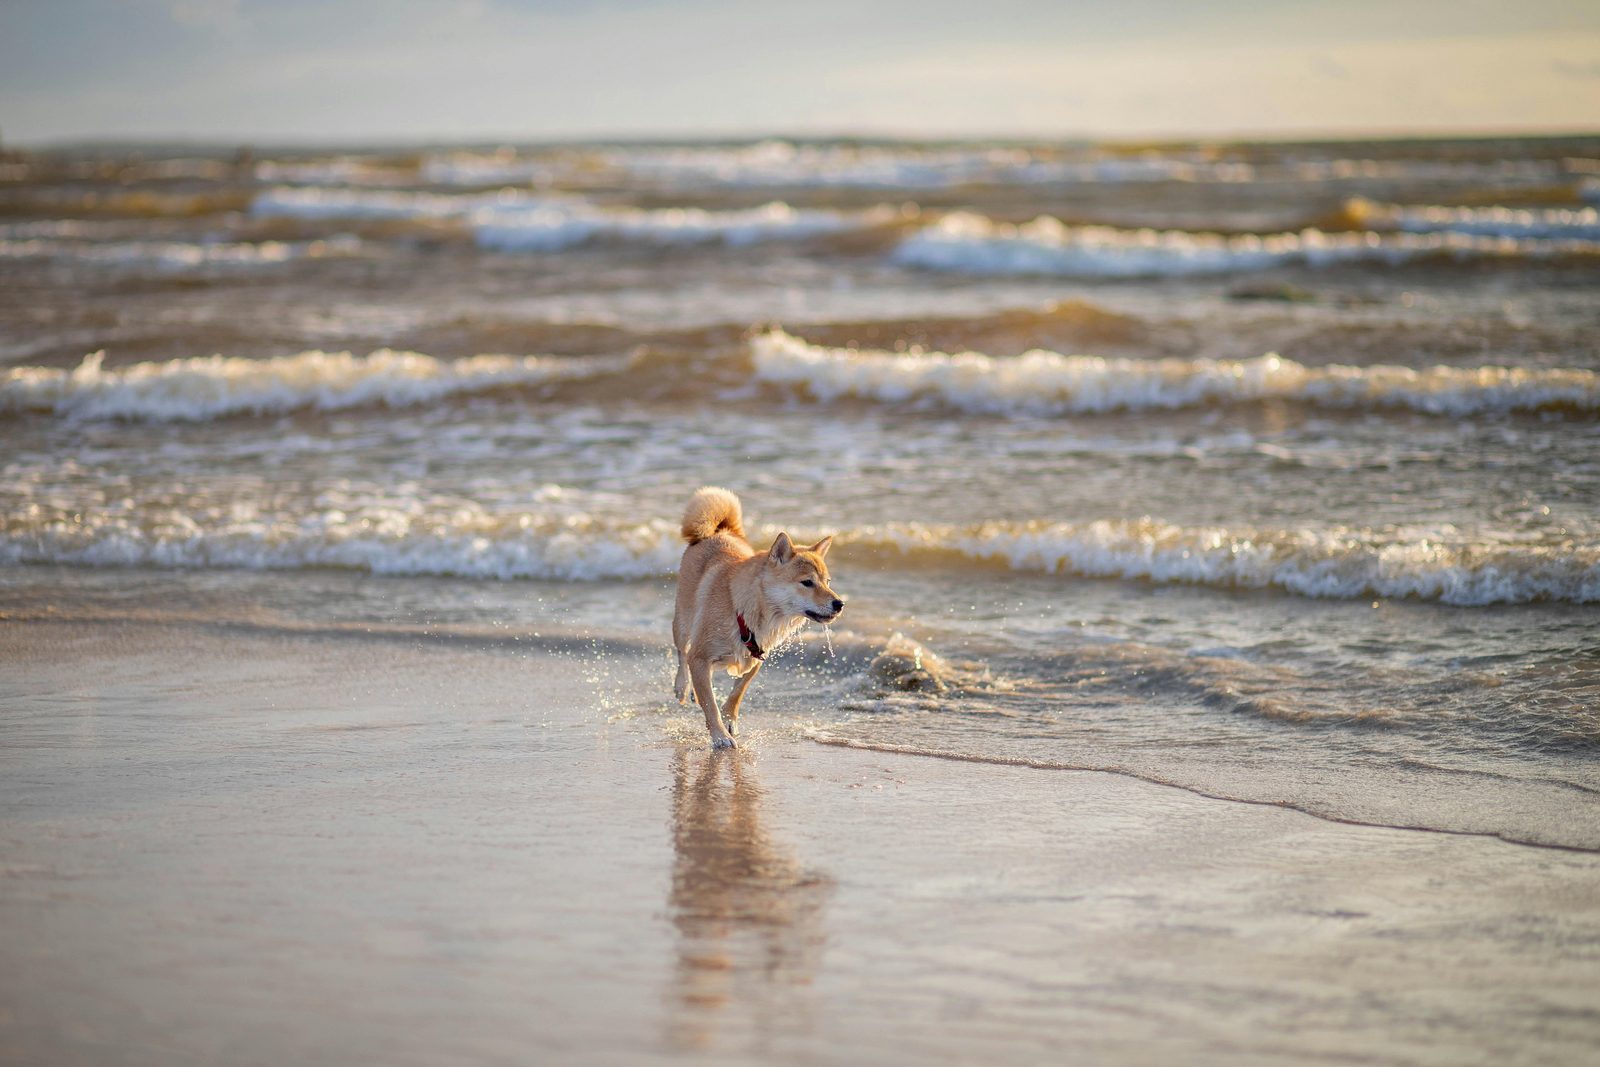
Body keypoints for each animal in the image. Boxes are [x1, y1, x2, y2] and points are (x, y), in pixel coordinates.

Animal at [675, 486, 844, 751]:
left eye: (827, 582)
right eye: (807, 582)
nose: (839, 604)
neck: (746, 609)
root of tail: (716, 532)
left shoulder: (757, 656)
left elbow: (738, 691)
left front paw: (730, 719)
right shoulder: (700, 656)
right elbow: (710, 704)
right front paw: (720, 735)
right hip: (682, 621)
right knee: (682, 652)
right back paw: (683, 687)